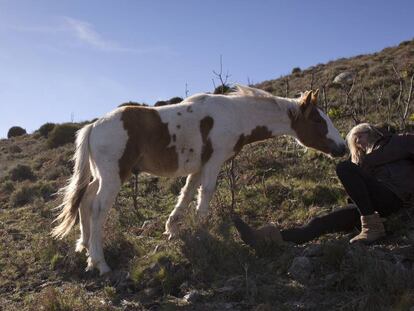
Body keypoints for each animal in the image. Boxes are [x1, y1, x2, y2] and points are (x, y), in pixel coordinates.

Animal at [53, 84, 348, 276]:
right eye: (319, 122)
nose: (343, 147)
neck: (236, 115)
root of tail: (93, 126)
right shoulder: (214, 162)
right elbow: (205, 193)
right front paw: (203, 231)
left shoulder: (198, 167)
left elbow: (186, 194)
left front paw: (172, 229)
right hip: (113, 177)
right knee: (98, 209)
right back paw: (100, 263)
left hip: (100, 176)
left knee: (84, 202)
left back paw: (84, 250)